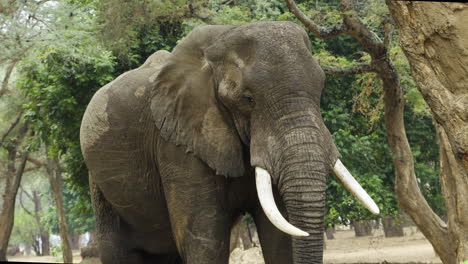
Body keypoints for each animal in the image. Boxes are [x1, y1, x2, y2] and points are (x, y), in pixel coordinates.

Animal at [80, 21, 378, 264]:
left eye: (321, 89)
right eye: (248, 99)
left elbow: (278, 235)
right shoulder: (175, 144)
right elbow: (204, 239)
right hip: (99, 184)